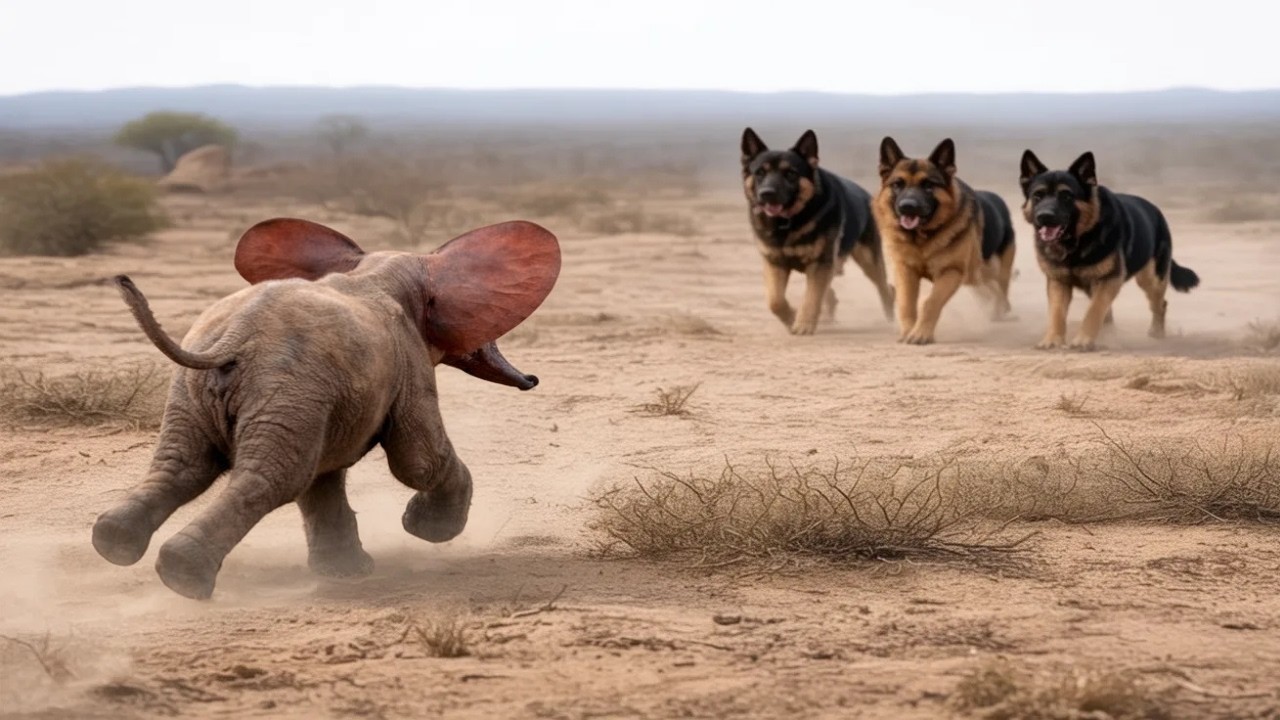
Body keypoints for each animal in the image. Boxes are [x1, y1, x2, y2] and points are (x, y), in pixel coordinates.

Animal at [91, 218, 561, 599]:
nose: (533, 380)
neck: (372, 270)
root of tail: (237, 336)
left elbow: (325, 478)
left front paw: (347, 574)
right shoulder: (406, 359)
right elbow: (416, 462)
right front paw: (418, 529)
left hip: (203, 392)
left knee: (183, 465)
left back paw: (114, 544)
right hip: (282, 385)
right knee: (273, 476)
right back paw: (183, 577)